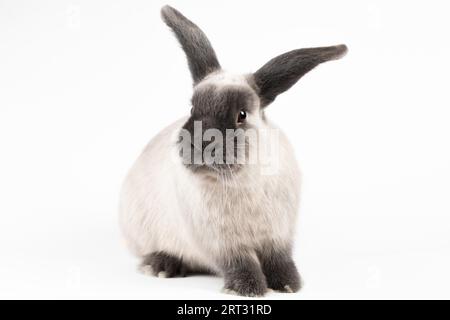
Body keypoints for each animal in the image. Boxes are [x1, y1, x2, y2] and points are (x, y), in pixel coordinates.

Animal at [119, 5, 348, 296]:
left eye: (242, 114)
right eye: (192, 109)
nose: (200, 142)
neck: (242, 179)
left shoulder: (278, 235)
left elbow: (279, 259)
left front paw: (289, 284)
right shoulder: (222, 241)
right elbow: (241, 262)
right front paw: (247, 289)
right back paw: (161, 266)